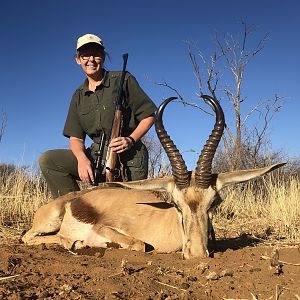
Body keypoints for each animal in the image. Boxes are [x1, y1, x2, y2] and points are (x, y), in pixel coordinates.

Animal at [22, 95, 284, 258]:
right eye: (176, 204)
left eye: (213, 203)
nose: (197, 254)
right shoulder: (107, 229)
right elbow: (139, 245)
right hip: (50, 221)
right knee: (32, 237)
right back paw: (74, 242)